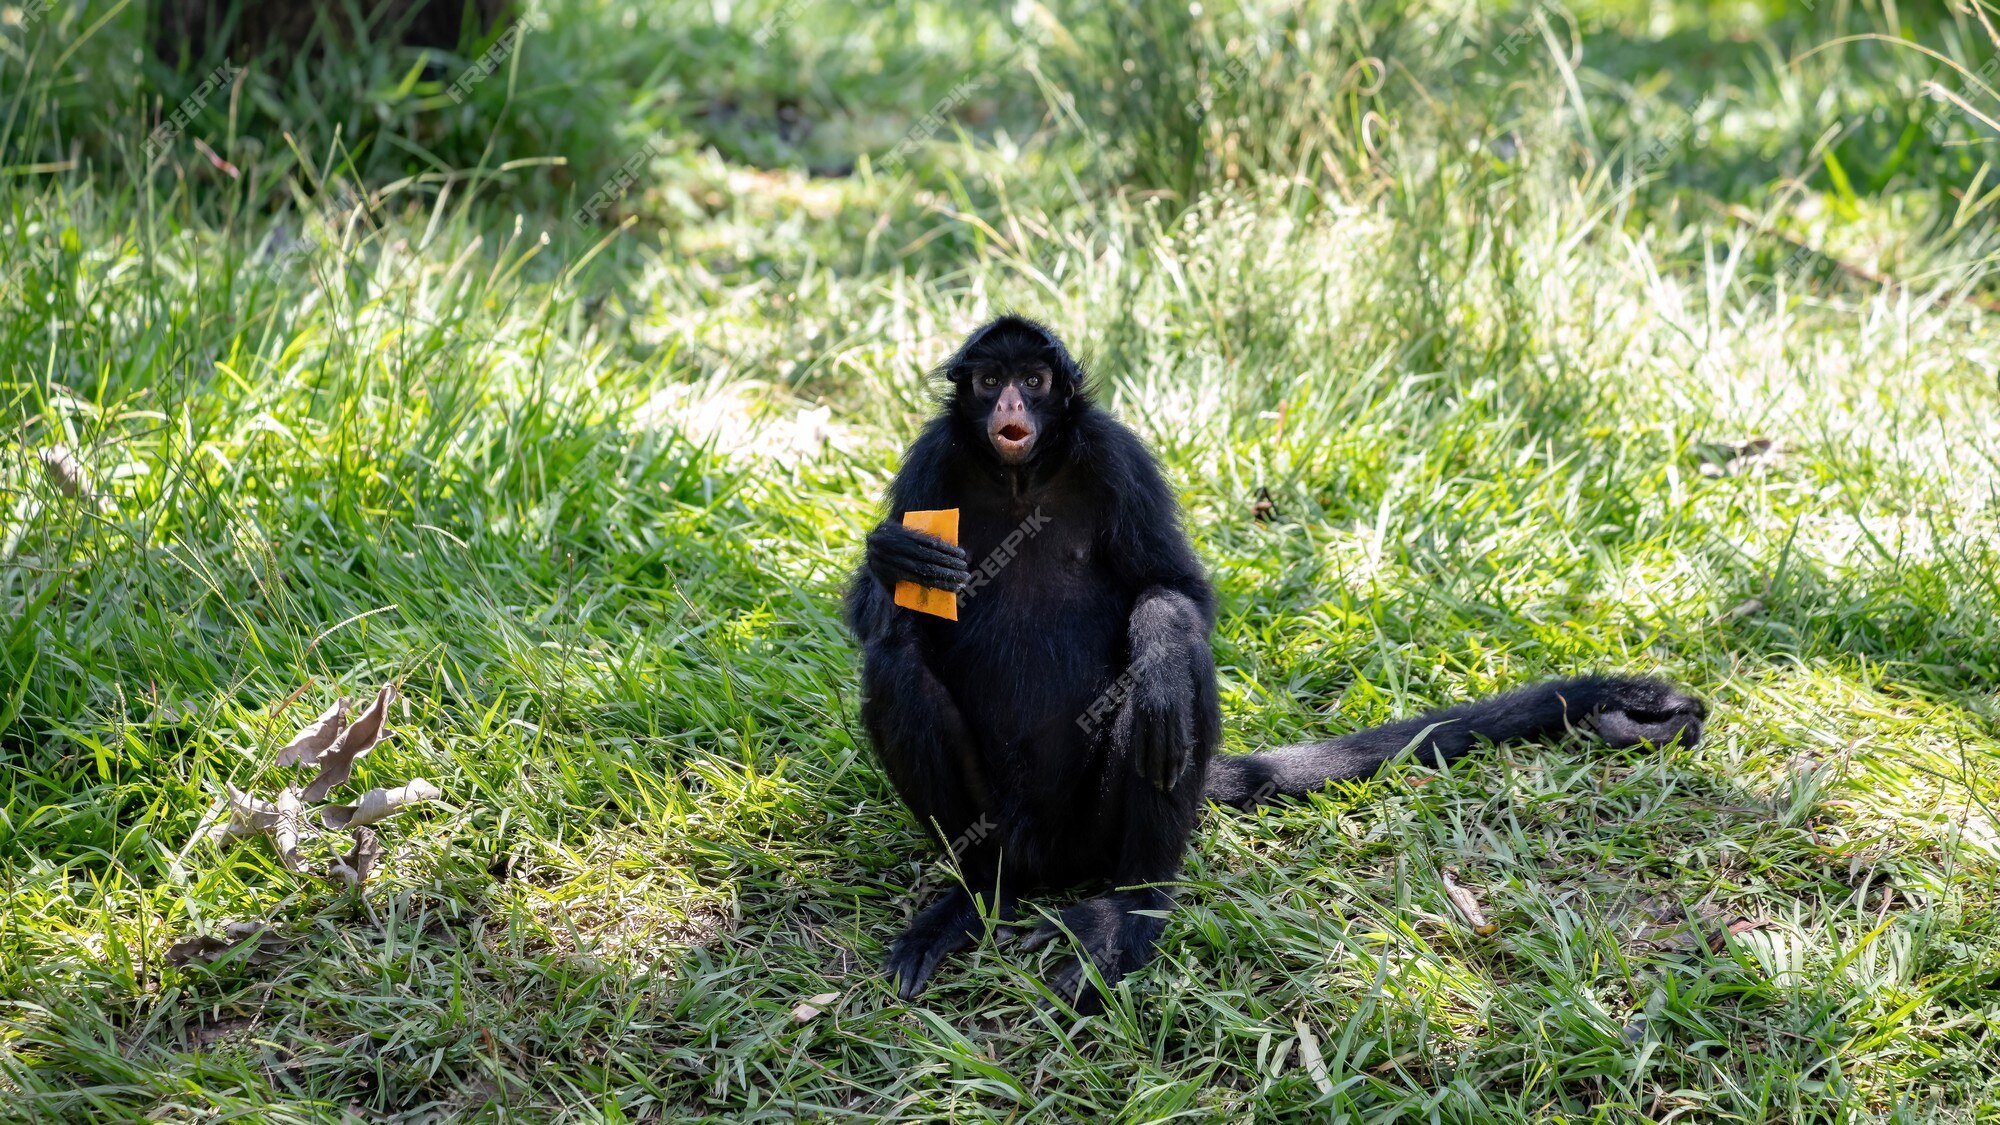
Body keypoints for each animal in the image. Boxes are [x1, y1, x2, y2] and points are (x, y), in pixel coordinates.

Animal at [844, 312, 1704, 1008]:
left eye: (1034, 379)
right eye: (990, 381)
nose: (1012, 408)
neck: (1024, 476)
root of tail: (1044, 852)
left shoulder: (1115, 453)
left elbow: (1179, 599)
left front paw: (1159, 638)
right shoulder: (932, 460)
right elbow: (874, 618)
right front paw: (893, 557)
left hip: (1094, 828)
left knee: (1169, 691)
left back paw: (1128, 912)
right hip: (1005, 821)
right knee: (896, 662)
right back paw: (980, 892)